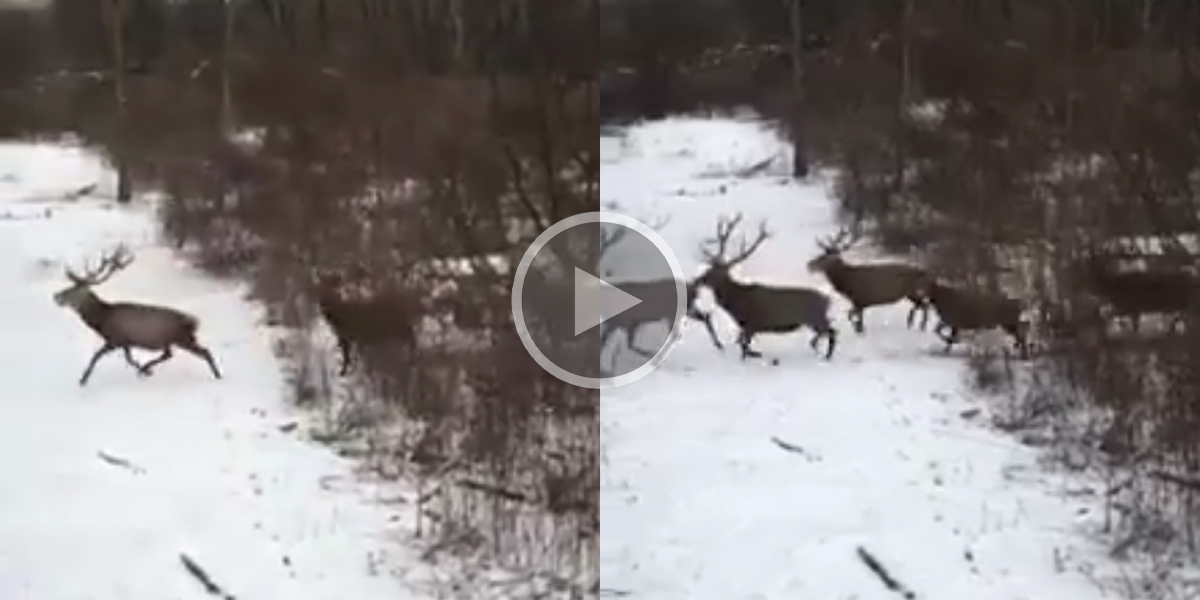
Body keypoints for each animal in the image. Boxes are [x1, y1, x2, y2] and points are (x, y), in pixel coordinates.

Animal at [53, 242, 225, 384]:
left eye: (73, 291)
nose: (56, 296)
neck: (101, 319)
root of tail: (194, 322)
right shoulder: (126, 342)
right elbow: (128, 359)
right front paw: (144, 370)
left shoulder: (115, 339)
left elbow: (96, 356)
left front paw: (83, 380)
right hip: (171, 340)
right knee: (168, 354)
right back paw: (147, 368)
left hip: (182, 338)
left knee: (204, 352)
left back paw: (218, 376)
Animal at [696, 213, 835, 357]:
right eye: (708, 269)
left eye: (712, 272)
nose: (700, 279)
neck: (736, 303)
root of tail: (827, 300)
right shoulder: (747, 327)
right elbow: (742, 344)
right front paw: (754, 353)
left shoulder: (752, 324)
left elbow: (744, 346)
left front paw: (754, 355)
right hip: (816, 320)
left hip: (815, 317)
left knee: (832, 332)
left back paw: (826, 355)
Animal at [806, 226, 936, 336]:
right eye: (820, 255)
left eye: (823, 258)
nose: (809, 265)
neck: (847, 281)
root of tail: (925, 272)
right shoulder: (860, 302)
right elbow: (855, 318)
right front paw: (860, 329)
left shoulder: (859, 299)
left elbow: (852, 317)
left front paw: (859, 330)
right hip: (910, 293)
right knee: (924, 305)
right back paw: (915, 323)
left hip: (913, 290)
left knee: (925, 305)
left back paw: (920, 326)